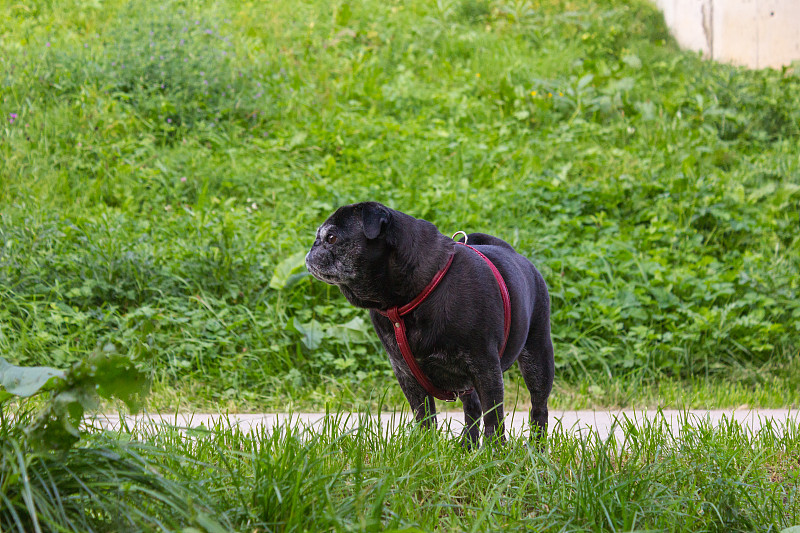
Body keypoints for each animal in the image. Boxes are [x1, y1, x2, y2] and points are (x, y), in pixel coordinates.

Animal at [304, 202, 552, 442]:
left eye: (331, 238)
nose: (311, 250)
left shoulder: (486, 368)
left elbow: (494, 417)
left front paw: (495, 451)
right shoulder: (407, 375)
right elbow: (424, 416)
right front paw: (426, 447)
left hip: (537, 358)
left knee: (538, 407)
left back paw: (536, 447)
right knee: (472, 408)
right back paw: (467, 446)